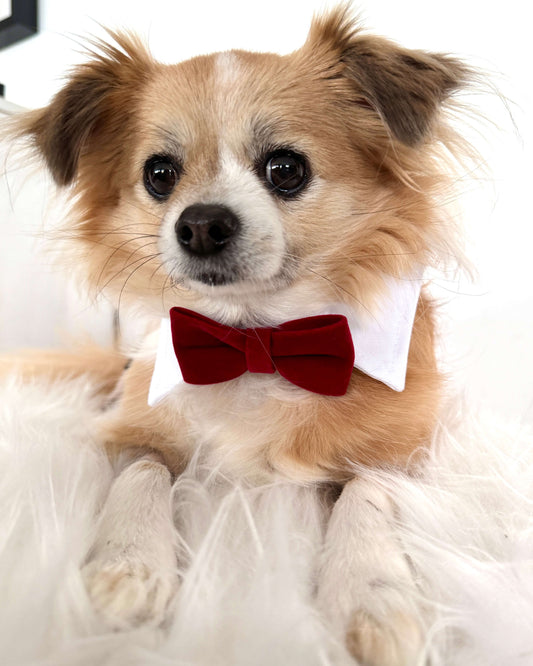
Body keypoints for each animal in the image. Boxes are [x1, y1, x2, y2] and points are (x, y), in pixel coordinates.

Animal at [8, 6, 472, 664]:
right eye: (159, 175)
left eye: (286, 168)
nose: (200, 224)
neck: (254, 340)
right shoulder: (132, 433)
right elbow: (142, 473)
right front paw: (126, 566)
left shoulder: (401, 457)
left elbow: (366, 494)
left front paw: (373, 596)